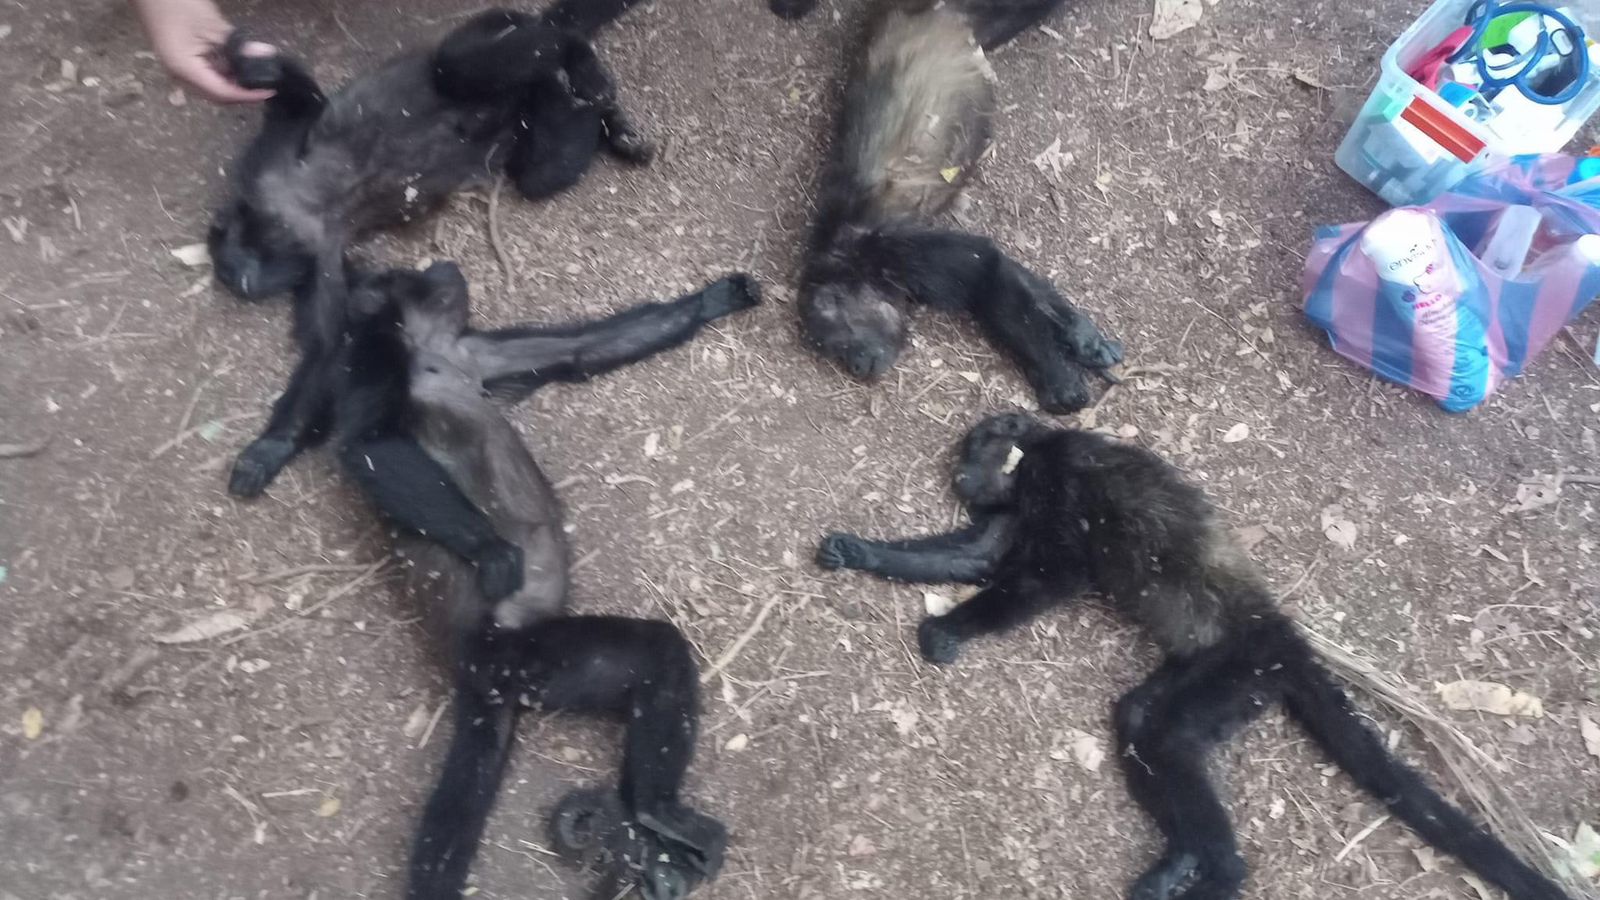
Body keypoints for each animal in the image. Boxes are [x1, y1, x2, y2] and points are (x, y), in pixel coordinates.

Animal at [208, 0, 654, 498]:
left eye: (230, 269)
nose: (240, 280)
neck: (289, 221)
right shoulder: (323, 254)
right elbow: (328, 348)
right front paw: (274, 446)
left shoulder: (271, 171)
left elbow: (301, 98)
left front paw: (251, 67)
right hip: (529, 128)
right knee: (543, 169)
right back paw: (603, 116)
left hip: (495, 26)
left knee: (462, 63)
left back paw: (578, 61)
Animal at [324, 262, 759, 900]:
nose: (444, 266)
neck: (432, 349)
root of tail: (469, 656)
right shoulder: (375, 354)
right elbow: (368, 445)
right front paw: (490, 551)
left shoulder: (476, 350)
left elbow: (579, 351)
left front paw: (712, 301)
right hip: (523, 658)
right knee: (655, 653)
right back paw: (653, 808)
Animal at [796, 0, 1124, 413]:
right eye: (831, 351)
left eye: (839, 340)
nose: (854, 365)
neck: (843, 259)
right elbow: (1009, 270)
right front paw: (1081, 337)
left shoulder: (886, 249)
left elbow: (985, 272)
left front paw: (1055, 376)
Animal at [815, 413, 1573, 900]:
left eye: (969, 454)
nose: (962, 480)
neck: (1039, 449)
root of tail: (1280, 636)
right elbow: (975, 555)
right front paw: (860, 551)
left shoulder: (1056, 480)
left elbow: (1050, 576)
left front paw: (952, 628)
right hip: (1223, 679)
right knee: (1141, 720)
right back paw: (1182, 859)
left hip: (1240, 669)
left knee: (1164, 733)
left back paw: (1221, 874)